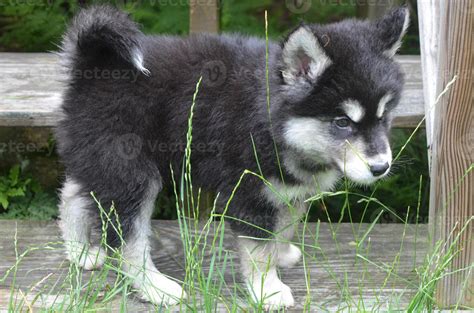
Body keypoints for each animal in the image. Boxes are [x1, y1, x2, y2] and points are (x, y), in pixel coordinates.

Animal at [56, 6, 408, 308]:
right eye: (342, 121)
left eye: (384, 115)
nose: (381, 167)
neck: (272, 119)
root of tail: (92, 64)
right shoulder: (249, 193)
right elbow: (259, 250)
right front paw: (268, 289)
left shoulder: (289, 192)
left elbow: (285, 227)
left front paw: (281, 253)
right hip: (132, 176)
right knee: (127, 241)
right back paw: (155, 287)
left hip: (100, 161)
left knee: (72, 193)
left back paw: (79, 251)